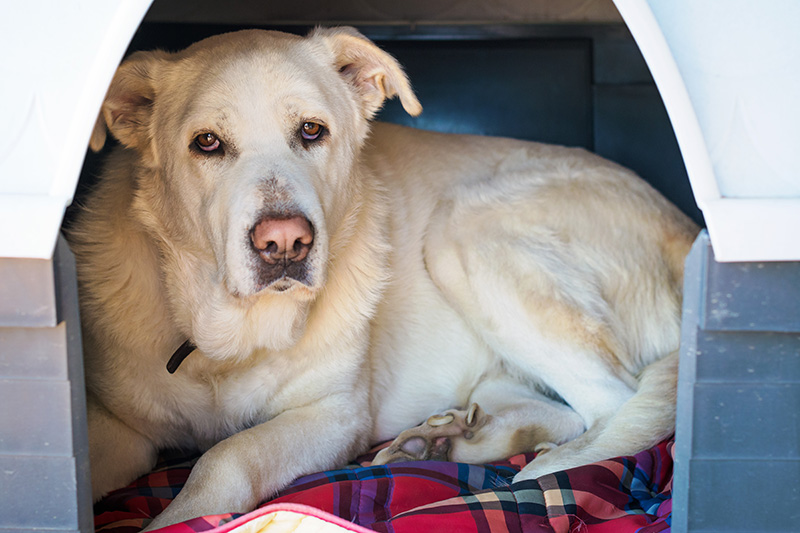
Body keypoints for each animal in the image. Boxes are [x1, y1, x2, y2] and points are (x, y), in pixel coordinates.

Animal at [72, 28, 700, 528]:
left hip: (463, 231)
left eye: (312, 130)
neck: (229, 342)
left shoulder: (333, 415)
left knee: (613, 407)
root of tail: (688, 231)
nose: (285, 243)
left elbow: (223, 457)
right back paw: (441, 441)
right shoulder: (112, 424)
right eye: (206, 142)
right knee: (561, 411)